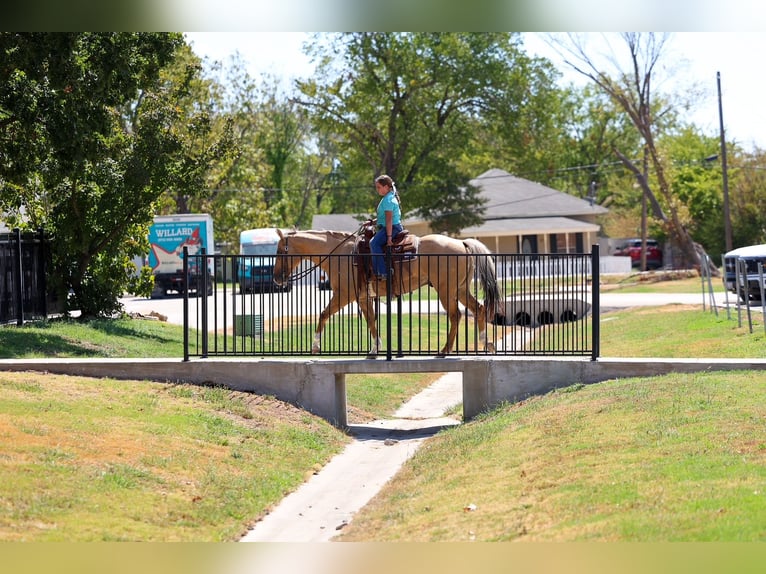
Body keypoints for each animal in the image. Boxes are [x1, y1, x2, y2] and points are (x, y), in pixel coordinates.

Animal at [272, 228, 502, 358]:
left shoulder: (344, 295)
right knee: (479, 309)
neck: (340, 254)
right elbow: (371, 321)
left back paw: (445, 350)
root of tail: (462, 242)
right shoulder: (362, 297)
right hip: (460, 289)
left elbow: (323, 314)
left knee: (456, 315)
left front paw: (315, 346)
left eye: (279, 251)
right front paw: (375, 349)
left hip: (446, 290)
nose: (276, 278)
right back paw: (486, 343)